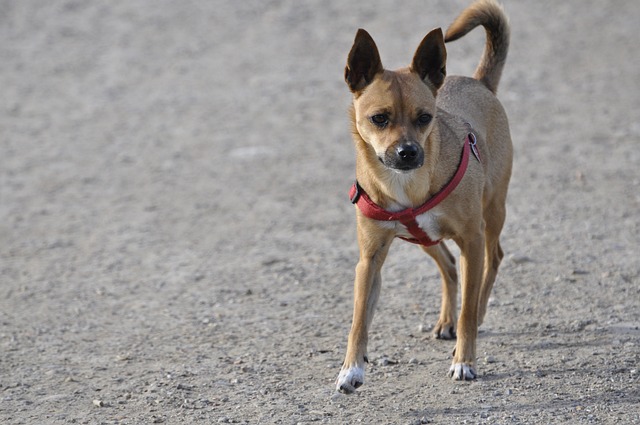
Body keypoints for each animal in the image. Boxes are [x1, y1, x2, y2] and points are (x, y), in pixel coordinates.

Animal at [338, 0, 512, 394]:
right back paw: (447, 320)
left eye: (425, 118)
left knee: (491, 261)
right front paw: (351, 370)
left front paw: (465, 361)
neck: (406, 183)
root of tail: (478, 82)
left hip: (492, 214)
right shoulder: (369, 260)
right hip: (425, 238)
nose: (408, 152)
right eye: (379, 118)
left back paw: (475, 315)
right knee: (447, 264)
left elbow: (467, 310)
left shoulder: (471, 240)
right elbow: (358, 320)